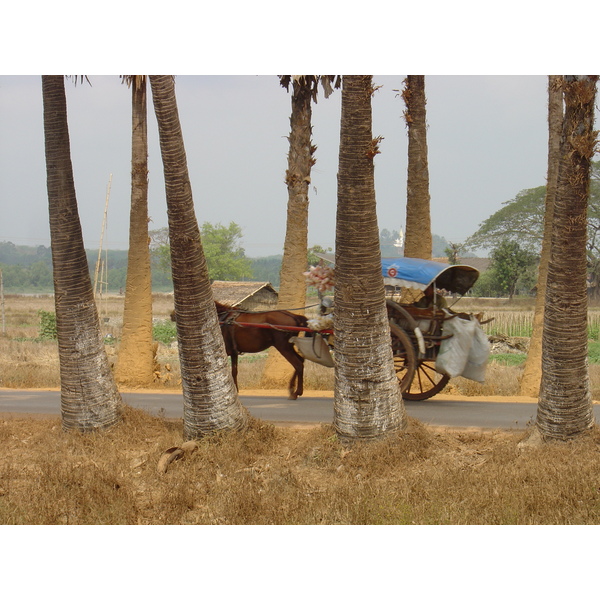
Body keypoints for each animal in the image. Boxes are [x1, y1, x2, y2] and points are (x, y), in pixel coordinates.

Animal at [169, 302, 310, 400]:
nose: (171, 315)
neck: (220, 319)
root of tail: (294, 316)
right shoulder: (234, 352)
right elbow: (234, 371)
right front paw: (235, 390)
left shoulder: (223, 351)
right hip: (288, 346)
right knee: (300, 361)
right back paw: (293, 389)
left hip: (283, 346)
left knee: (298, 364)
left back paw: (295, 392)